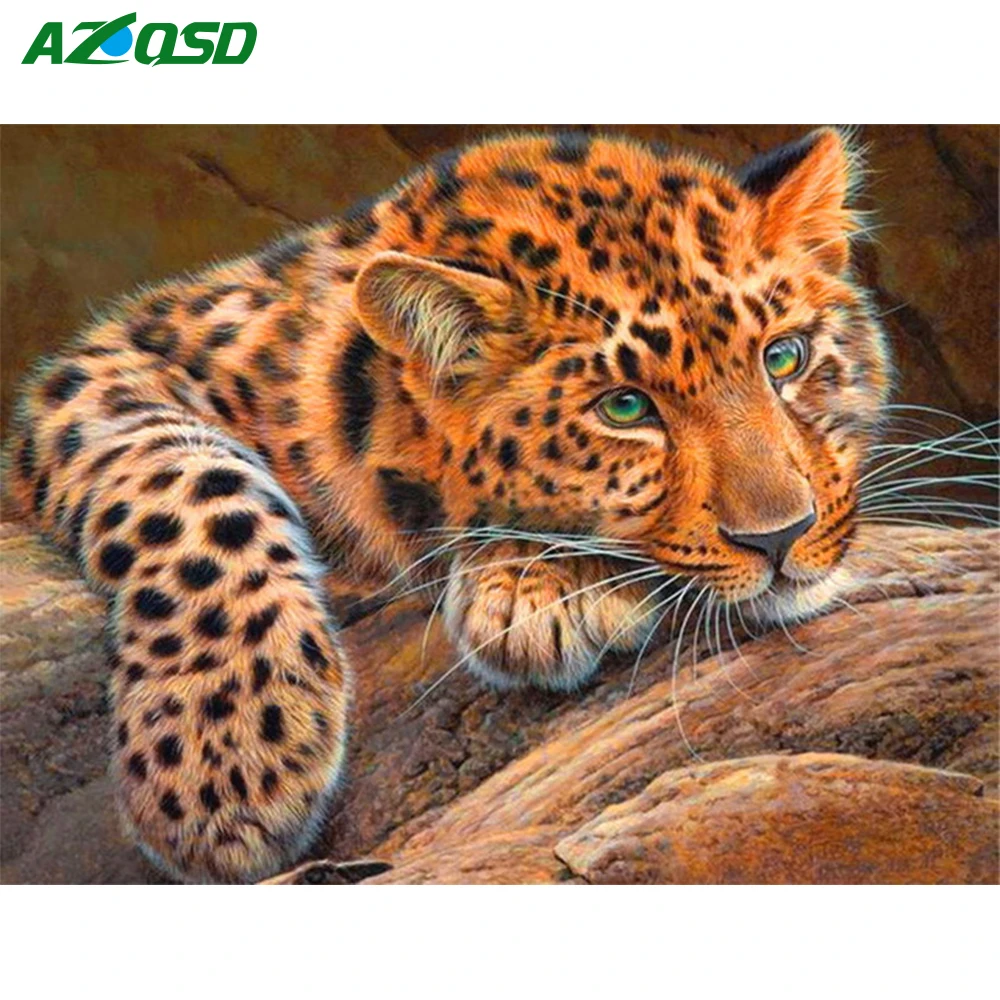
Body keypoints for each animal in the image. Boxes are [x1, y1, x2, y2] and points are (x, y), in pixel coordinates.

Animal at [2, 127, 891, 883]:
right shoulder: (107, 368)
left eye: (785, 358)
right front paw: (224, 753)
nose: (783, 536)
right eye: (625, 408)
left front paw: (534, 584)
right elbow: (189, 481)